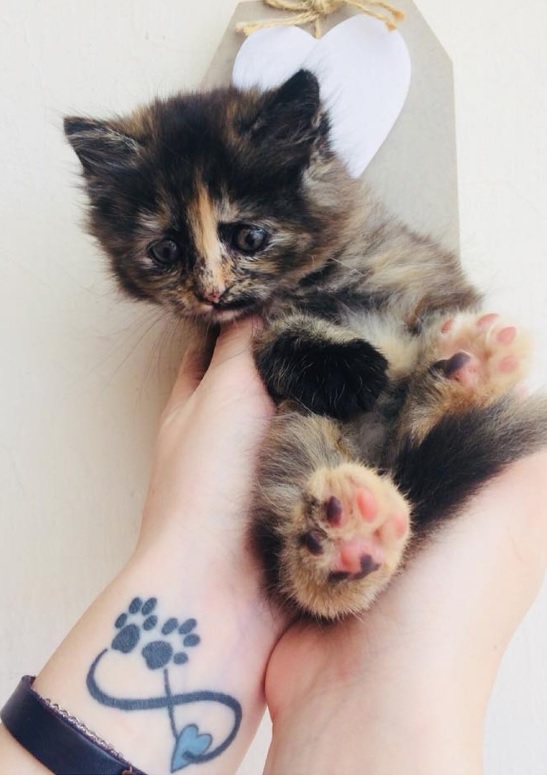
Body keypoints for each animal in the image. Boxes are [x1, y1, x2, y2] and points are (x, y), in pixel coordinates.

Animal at [65, 73, 547, 620]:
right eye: (165, 250)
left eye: (251, 237)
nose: (211, 291)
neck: (311, 286)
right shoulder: (222, 340)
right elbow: (275, 336)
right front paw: (349, 369)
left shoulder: (421, 276)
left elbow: (419, 322)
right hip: (296, 430)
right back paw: (347, 542)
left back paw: (468, 367)